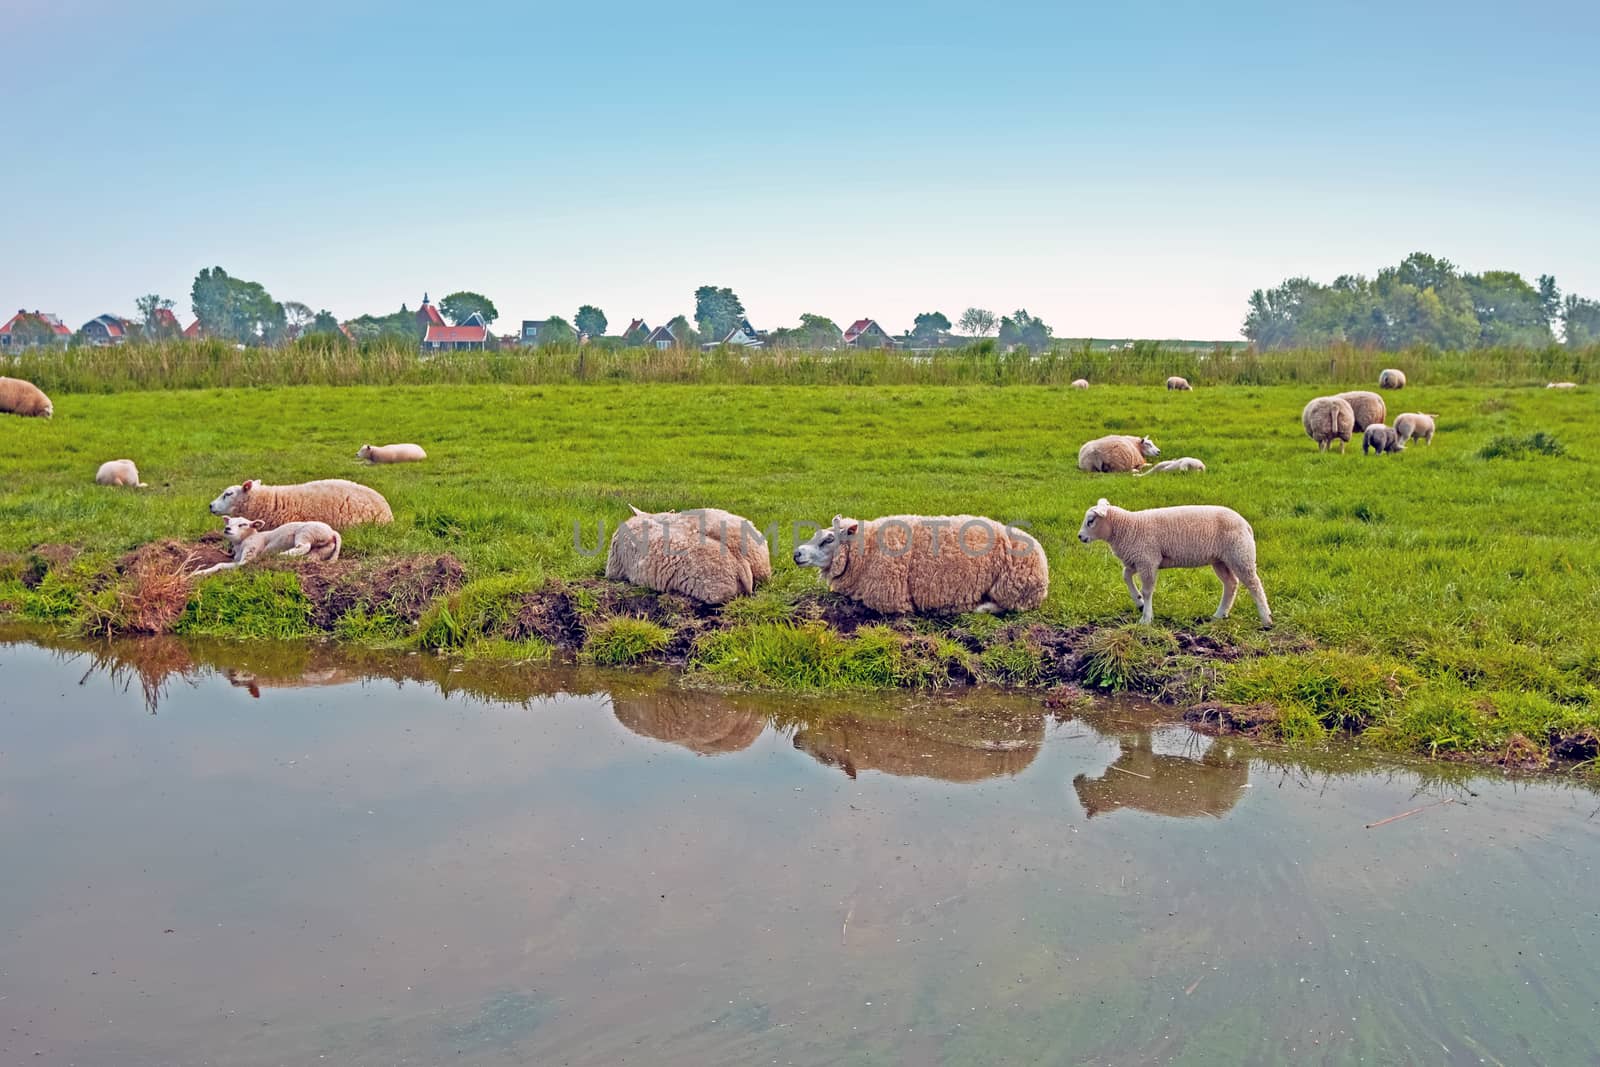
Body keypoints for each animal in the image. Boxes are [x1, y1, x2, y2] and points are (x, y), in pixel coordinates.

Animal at [194, 518, 344, 575]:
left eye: (243, 524)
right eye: (229, 522)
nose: (227, 528)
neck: (242, 542)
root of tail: (332, 532)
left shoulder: (249, 555)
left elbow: (221, 564)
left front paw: (199, 573)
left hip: (306, 532)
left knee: (304, 546)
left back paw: (282, 554)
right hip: (323, 550)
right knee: (311, 556)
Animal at [790, 511, 1049, 614]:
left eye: (828, 539)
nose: (797, 553)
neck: (866, 549)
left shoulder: (889, 598)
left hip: (1011, 591)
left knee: (1006, 606)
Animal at [1075, 499, 1273, 627]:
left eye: (1090, 521)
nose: (1080, 537)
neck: (1127, 527)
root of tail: (1245, 524)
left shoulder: (1148, 560)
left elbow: (1148, 591)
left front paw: (1146, 618)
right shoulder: (1138, 560)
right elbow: (1125, 576)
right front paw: (1138, 602)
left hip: (1240, 555)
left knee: (1254, 584)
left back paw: (1266, 619)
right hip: (1221, 559)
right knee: (1231, 583)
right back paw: (1219, 615)